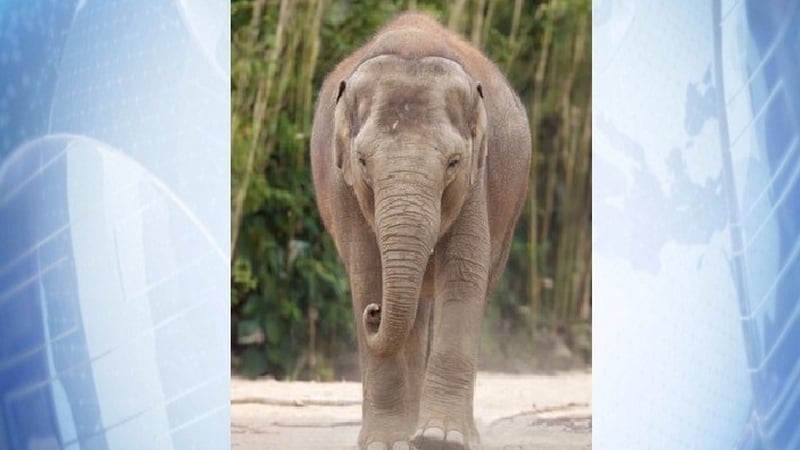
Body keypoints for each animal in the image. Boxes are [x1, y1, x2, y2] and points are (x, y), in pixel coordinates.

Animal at [310, 12, 531, 450]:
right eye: (363, 161)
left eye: (453, 162)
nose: (373, 313)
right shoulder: (343, 186)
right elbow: (369, 274)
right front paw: (385, 443)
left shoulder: (477, 179)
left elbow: (463, 275)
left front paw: (441, 439)